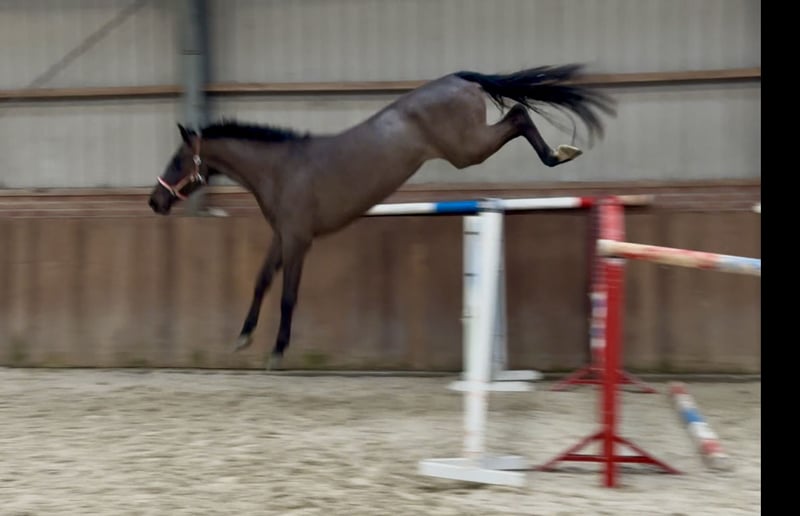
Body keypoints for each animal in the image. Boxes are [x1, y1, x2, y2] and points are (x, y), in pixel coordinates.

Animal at [148, 63, 615, 370]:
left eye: (177, 160)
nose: (155, 202)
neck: (281, 169)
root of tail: (459, 78)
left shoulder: (299, 239)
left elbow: (287, 295)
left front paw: (277, 351)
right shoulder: (282, 236)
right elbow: (261, 281)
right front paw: (243, 337)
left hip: (468, 149)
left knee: (518, 115)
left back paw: (558, 154)